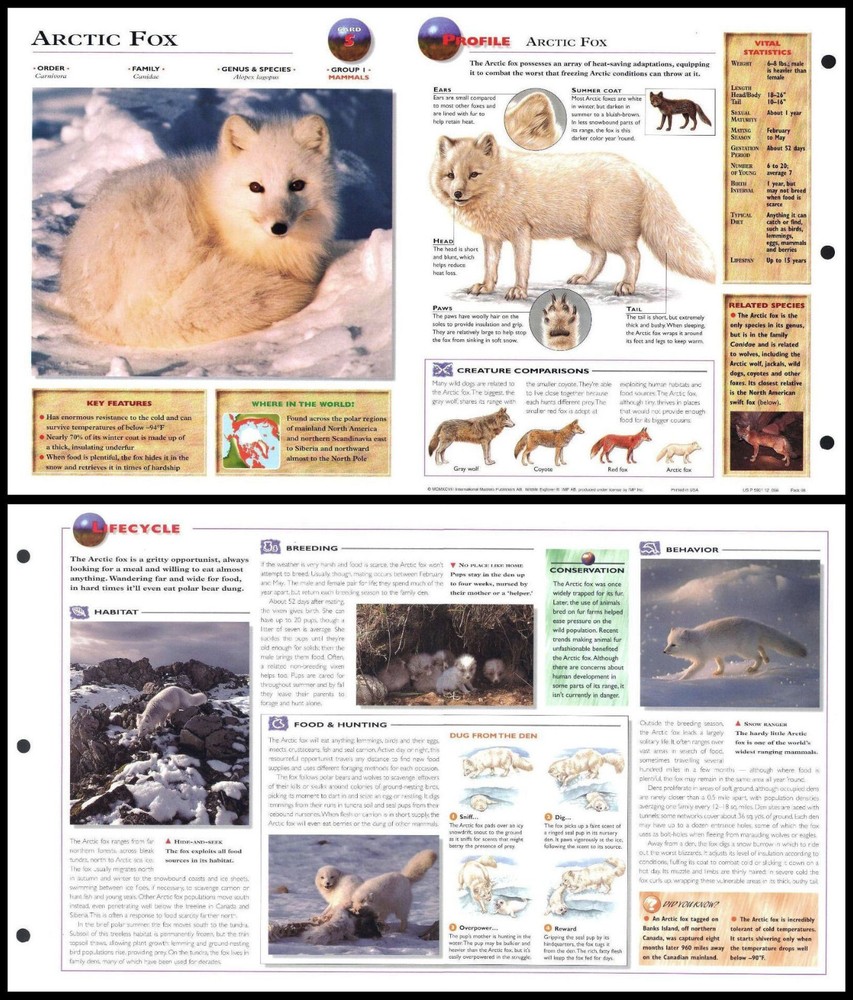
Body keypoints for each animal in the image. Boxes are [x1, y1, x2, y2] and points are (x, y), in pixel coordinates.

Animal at [430, 135, 714, 299]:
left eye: (474, 174)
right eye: (451, 175)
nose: (457, 194)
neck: (504, 183)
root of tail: (636, 168)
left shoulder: (521, 233)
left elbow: (520, 267)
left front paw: (519, 291)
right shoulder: (492, 237)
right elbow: (490, 266)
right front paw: (486, 287)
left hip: (607, 231)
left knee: (634, 255)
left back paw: (626, 285)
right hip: (584, 237)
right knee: (601, 257)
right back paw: (585, 279)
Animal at [663, 617, 808, 680]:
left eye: (674, 645)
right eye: (668, 643)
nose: (664, 651)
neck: (696, 642)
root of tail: (755, 623)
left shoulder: (701, 661)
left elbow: (690, 671)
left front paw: (681, 680)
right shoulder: (717, 654)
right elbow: (721, 664)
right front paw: (719, 672)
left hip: (744, 652)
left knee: (758, 656)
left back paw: (753, 668)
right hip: (749, 647)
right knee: (761, 647)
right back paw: (767, 659)